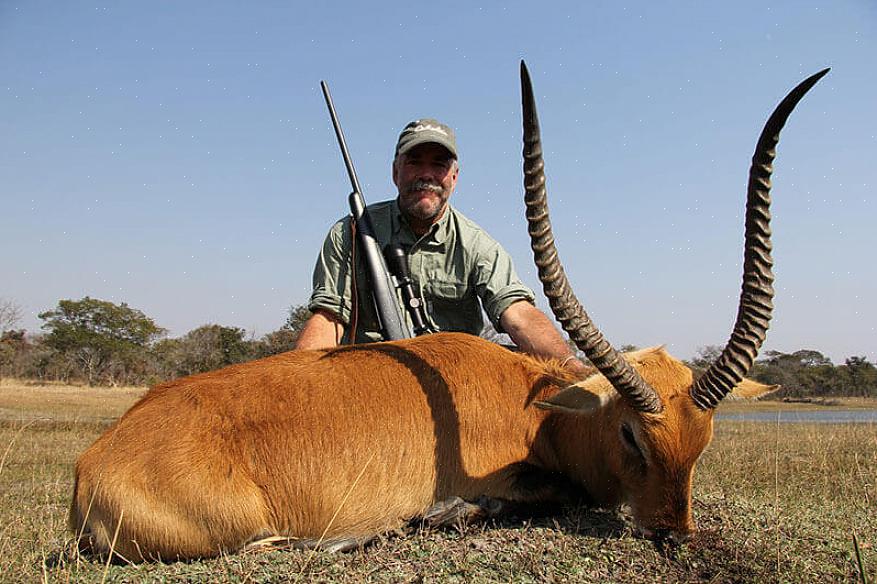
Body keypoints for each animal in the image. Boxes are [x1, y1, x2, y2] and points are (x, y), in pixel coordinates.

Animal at [70, 64, 828, 560]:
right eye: (631, 436)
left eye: (703, 441)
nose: (672, 534)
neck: (536, 408)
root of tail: (91, 468)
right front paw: (451, 512)